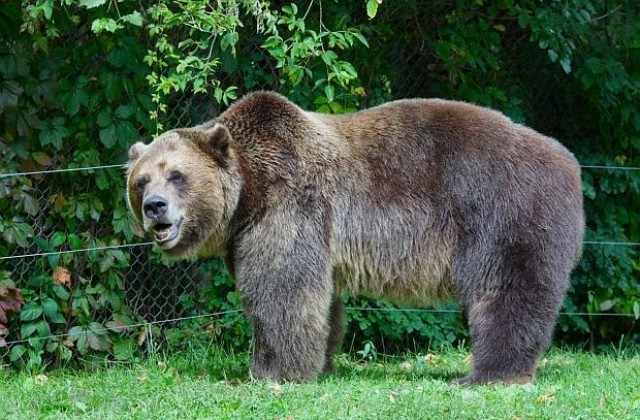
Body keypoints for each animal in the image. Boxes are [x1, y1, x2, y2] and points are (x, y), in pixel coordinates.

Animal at [125, 91, 584, 384]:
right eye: (141, 180)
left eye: (177, 175)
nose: (155, 207)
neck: (248, 193)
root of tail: (569, 161)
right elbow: (321, 299)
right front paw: (319, 362)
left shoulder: (290, 206)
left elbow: (282, 290)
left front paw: (272, 371)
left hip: (504, 212)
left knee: (506, 293)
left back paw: (488, 374)